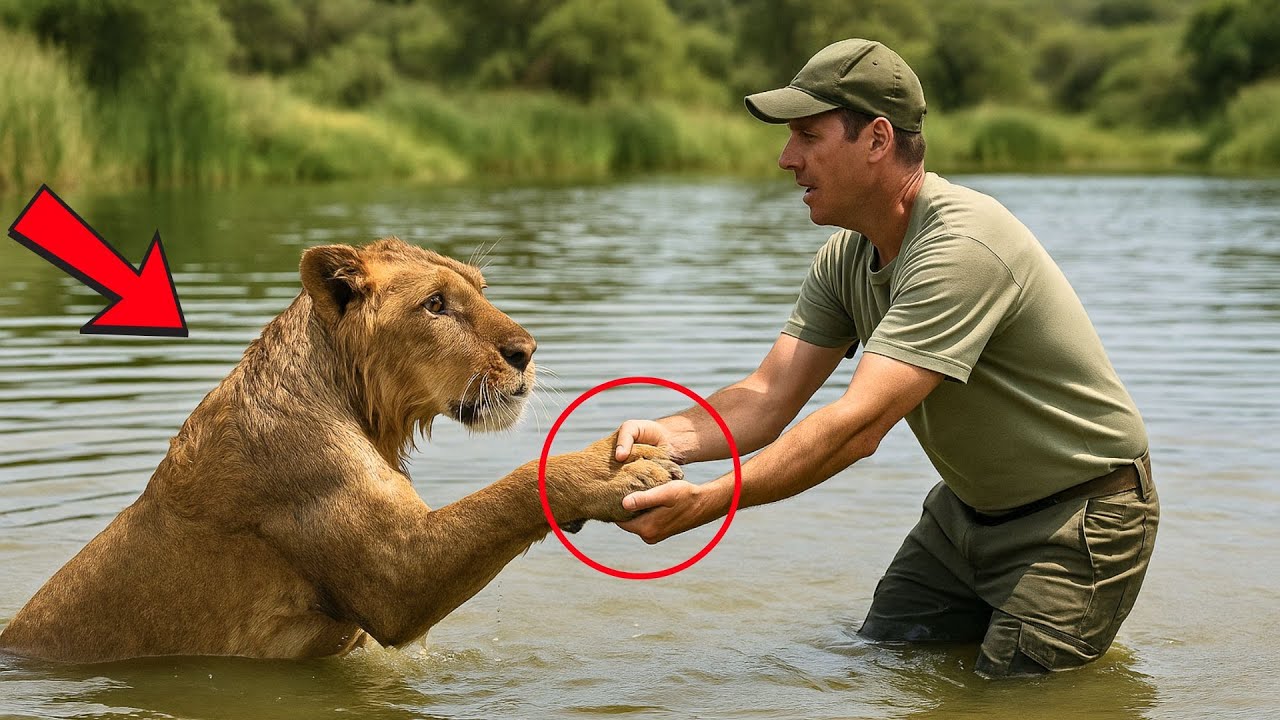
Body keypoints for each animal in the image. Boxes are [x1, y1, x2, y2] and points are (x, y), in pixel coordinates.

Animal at [0, 237, 678, 663]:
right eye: (436, 305)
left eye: (482, 289)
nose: (526, 351)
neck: (366, 409)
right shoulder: (394, 575)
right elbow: (506, 492)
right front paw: (614, 467)